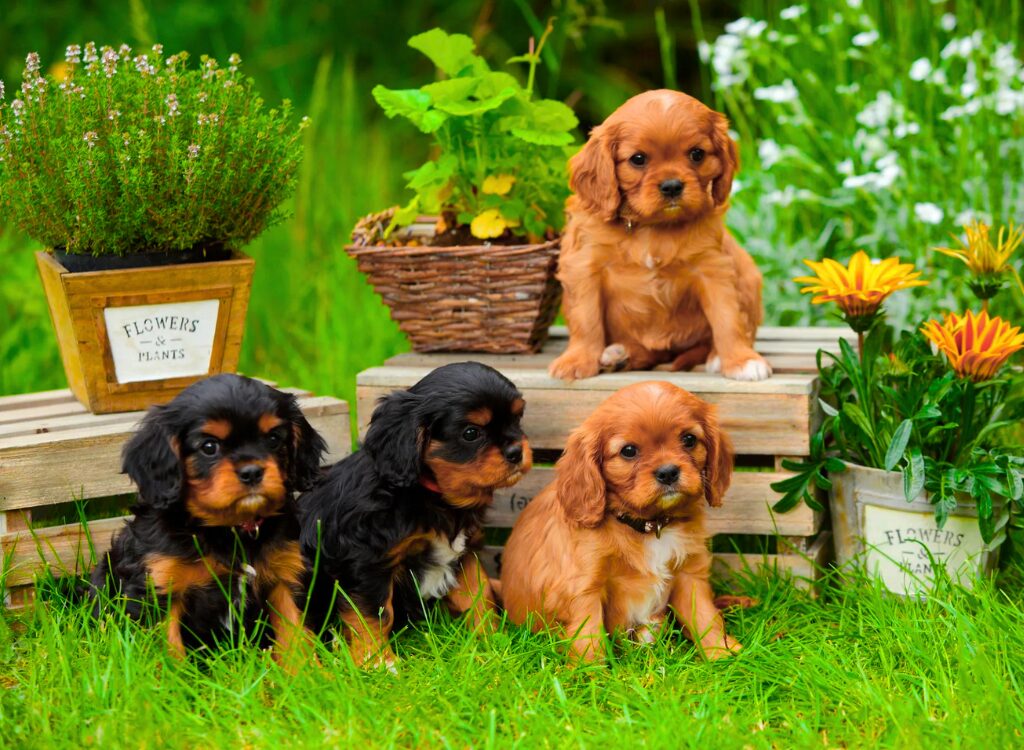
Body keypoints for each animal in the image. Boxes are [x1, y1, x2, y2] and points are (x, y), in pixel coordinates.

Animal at [91, 375, 325, 668]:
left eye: (273, 439)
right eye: (209, 447)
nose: (252, 472)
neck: (229, 529)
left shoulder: (284, 578)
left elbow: (294, 631)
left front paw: (309, 674)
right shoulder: (159, 589)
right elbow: (168, 647)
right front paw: (174, 679)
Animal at [299, 360, 532, 672]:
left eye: (517, 419)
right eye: (471, 433)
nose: (517, 451)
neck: (433, 496)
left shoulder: (465, 554)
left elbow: (478, 595)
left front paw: (491, 642)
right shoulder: (367, 563)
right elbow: (374, 615)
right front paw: (379, 663)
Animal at [552, 90, 770, 383]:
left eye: (697, 154)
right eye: (638, 159)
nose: (672, 186)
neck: (651, 226)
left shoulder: (714, 269)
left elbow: (727, 318)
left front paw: (742, 360)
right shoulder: (585, 267)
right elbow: (585, 319)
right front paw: (577, 360)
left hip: (748, 272)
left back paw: (713, 357)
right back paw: (620, 355)